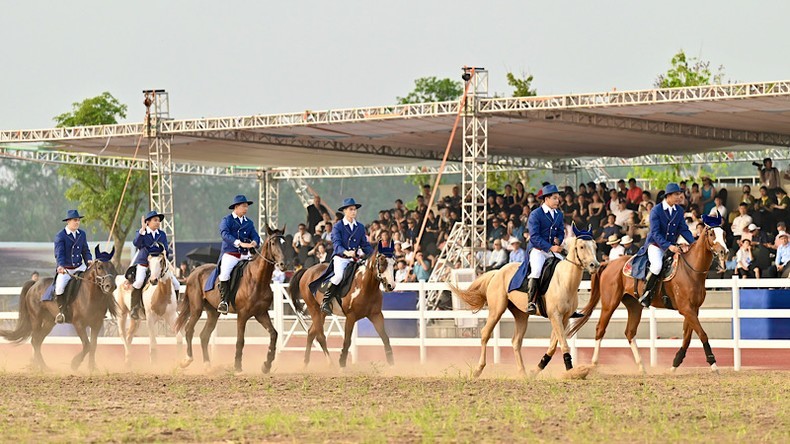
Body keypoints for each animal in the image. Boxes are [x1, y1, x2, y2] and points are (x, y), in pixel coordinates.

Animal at [176, 227, 288, 372]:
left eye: (284, 243)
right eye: (273, 243)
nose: (283, 264)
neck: (257, 279)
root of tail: (194, 272)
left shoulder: (261, 314)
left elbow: (274, 334)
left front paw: (266, 365)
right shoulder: (242, 315)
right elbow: (240, 340)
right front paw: (237, 367)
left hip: (213, 313)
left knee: (204, 336)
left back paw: (207, 365)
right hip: (196, 309)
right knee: (189, 330)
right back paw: (187, 360)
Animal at [452, 234, 600, 376]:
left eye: (595, 247)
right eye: (581, 246)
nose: (595, 265)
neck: (564, 280)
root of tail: (498, 272)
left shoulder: (564, 318)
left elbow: (553, 345)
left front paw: (537, 369)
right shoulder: (555, 316)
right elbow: (563, 344)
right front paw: (571, 371)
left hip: (521, 315)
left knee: (516, 341)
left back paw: (522, 372)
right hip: (496, 311)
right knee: (485, 334)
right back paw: (478, 369)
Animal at [568, 221, 732, 372]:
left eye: (724, 234)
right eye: (711, 234)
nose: (724, 251)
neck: (690, 270)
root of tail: (608, 263)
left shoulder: (693, 310)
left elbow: (687, 338)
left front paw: (675, 365)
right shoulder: (686, 309)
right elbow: (702, 334)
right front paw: (713, 364)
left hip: (634, 306)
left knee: (629, 332)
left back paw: (642, 367)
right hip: (610, 304)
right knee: (600, 329)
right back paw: (594, 363)